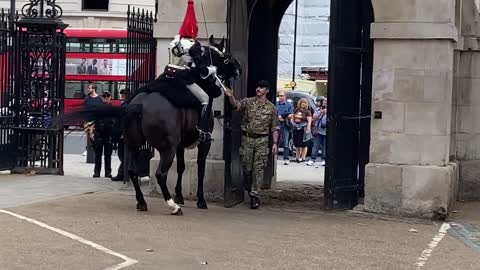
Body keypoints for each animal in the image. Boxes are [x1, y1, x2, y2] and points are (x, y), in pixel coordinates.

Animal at [67, 35, 240, 215]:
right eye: (225, 57)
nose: (238, 70)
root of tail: (139, 105)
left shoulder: (180, 145)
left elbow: (181, 167)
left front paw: (180, 195)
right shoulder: (203, 143)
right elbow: (200, 168)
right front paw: (200, 200)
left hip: (133, 144)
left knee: (132, 170)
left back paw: (142, 202)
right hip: (167, 148)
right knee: (160, 174)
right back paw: (173, 206)